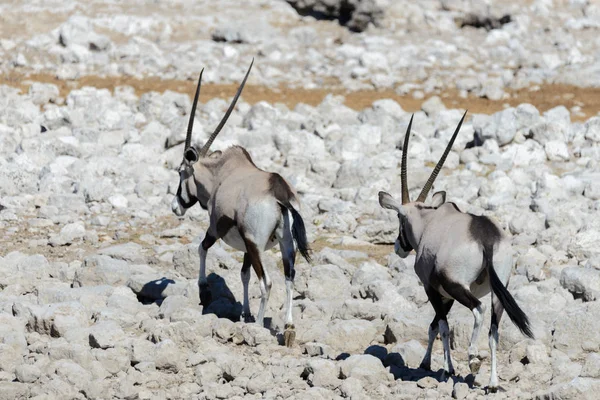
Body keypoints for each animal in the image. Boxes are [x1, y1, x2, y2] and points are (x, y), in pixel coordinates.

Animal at [171, 60, 312, 346]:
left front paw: (204, 291)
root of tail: (279, 193)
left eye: (180, 172)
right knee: (289, 277)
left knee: (267, 282)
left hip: (257, 244)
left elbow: (201, 248)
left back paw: (257, 327)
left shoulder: (216, 228)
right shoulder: (246, 247)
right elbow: (244, 275)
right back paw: (288, 328)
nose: (176, 206)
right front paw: (244, 313)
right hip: (285, 245)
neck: (221, 174)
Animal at [380, 112, 536, 390]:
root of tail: (485, 235)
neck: (428, 221)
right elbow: (434, 326)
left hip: (459, 287)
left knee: (478, 310)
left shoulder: (433, 289)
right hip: (498, 291)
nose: (399, 246)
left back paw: (473, 357)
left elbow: (441, 326)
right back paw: (493, 382)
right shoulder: (446, 295)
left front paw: (446, 369)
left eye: (398, 217)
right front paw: (428, 364)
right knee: (494, 331)